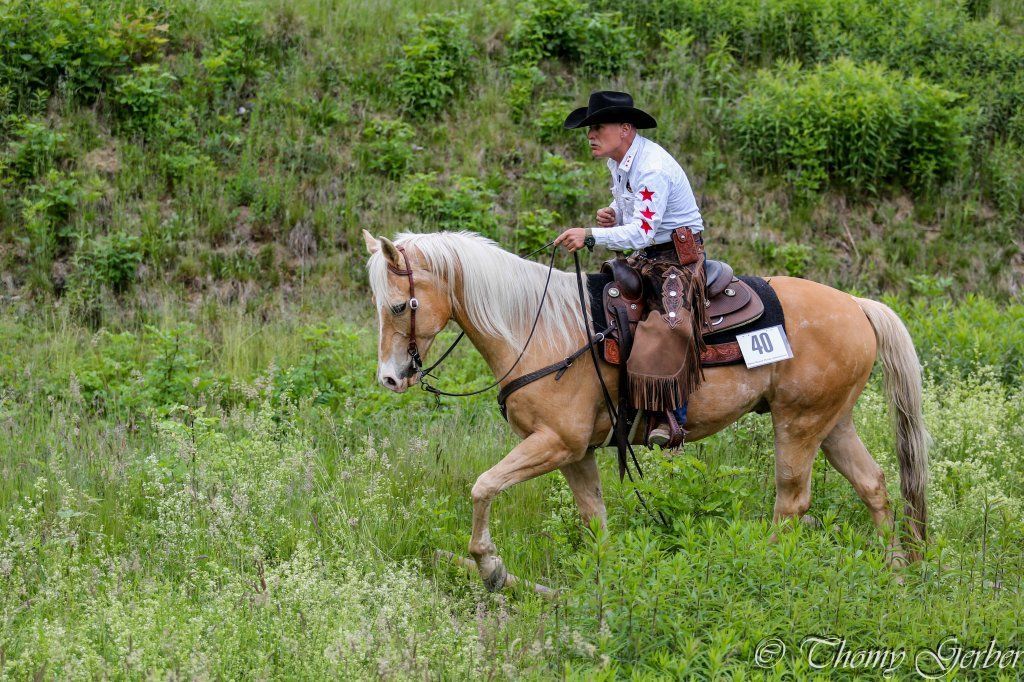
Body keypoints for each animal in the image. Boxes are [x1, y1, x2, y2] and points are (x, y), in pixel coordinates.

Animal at [363, 229, 928, 592]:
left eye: (398, 305)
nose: (390, 377)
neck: (537, 329)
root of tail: (857, 305)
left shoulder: (556, 443)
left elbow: (483, 486)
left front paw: (492, 568)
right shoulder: (575, 453)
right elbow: (593, 516)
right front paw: (608, 578)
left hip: (799, 424)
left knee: (791, 502)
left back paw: (766, 570)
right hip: (832, 423)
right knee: (874, 484)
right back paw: (897, 573)